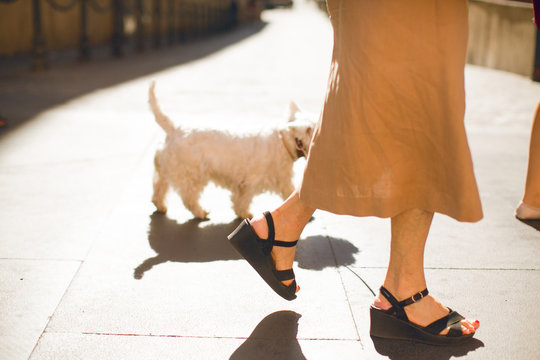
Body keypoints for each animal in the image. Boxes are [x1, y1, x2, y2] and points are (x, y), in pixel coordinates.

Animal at [148, 82, 316, 219]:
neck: (285, 142)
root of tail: (174, 129)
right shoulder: (250, 182)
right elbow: (243, 200)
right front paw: (244, 214)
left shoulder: (281, 179)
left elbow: (289, 191)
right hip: (192, 175)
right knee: (188, 198)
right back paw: (201, 212)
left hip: (165, 169)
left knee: (159, 187)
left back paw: (160, 205)